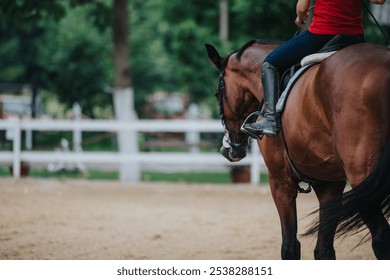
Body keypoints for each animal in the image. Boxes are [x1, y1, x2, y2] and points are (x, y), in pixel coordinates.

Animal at [206, 41, 388, 260]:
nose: (229, 149)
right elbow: (324, 250)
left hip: (363, 179)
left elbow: (290, 246)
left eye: (217, 94)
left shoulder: (280, 182)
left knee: (381, 237)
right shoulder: (330, 184)